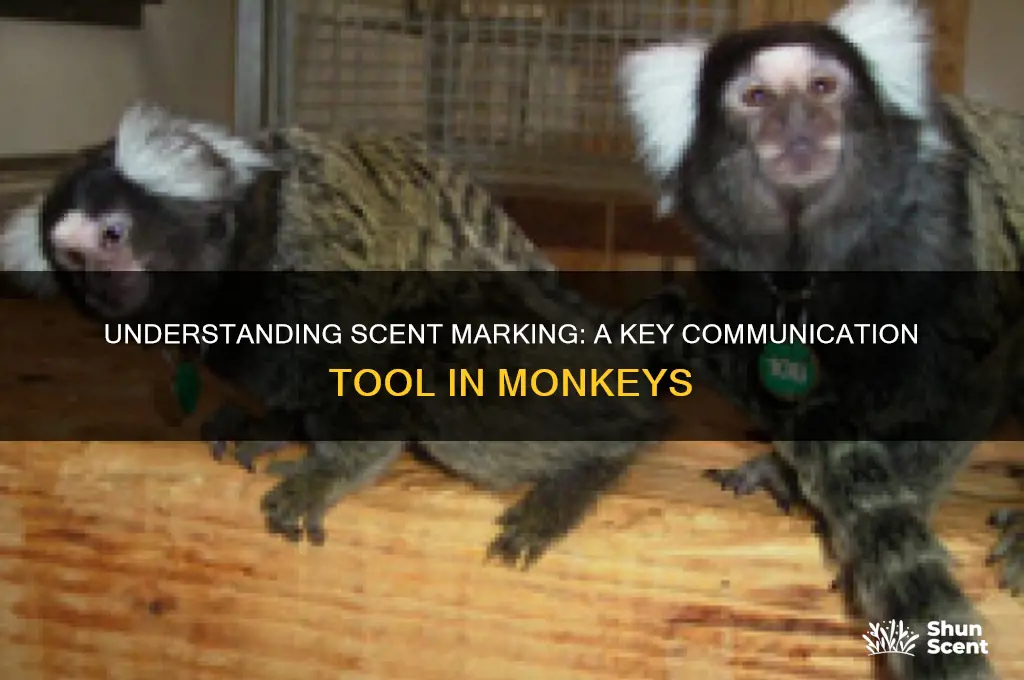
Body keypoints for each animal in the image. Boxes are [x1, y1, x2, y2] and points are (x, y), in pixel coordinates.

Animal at [0, 103, 671, 568]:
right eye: (72, 261)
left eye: (113, 236)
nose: (100, 287)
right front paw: (267, 425)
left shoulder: (310, 259)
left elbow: (372, 370)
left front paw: (328, 471)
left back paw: (591, 464)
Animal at [616, 0, 1024, 678]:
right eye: (756, 97)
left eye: (822, 87)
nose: (798, 122)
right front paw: (782, 469)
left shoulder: (941, 233)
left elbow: (965, 391)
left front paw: (896, 511)